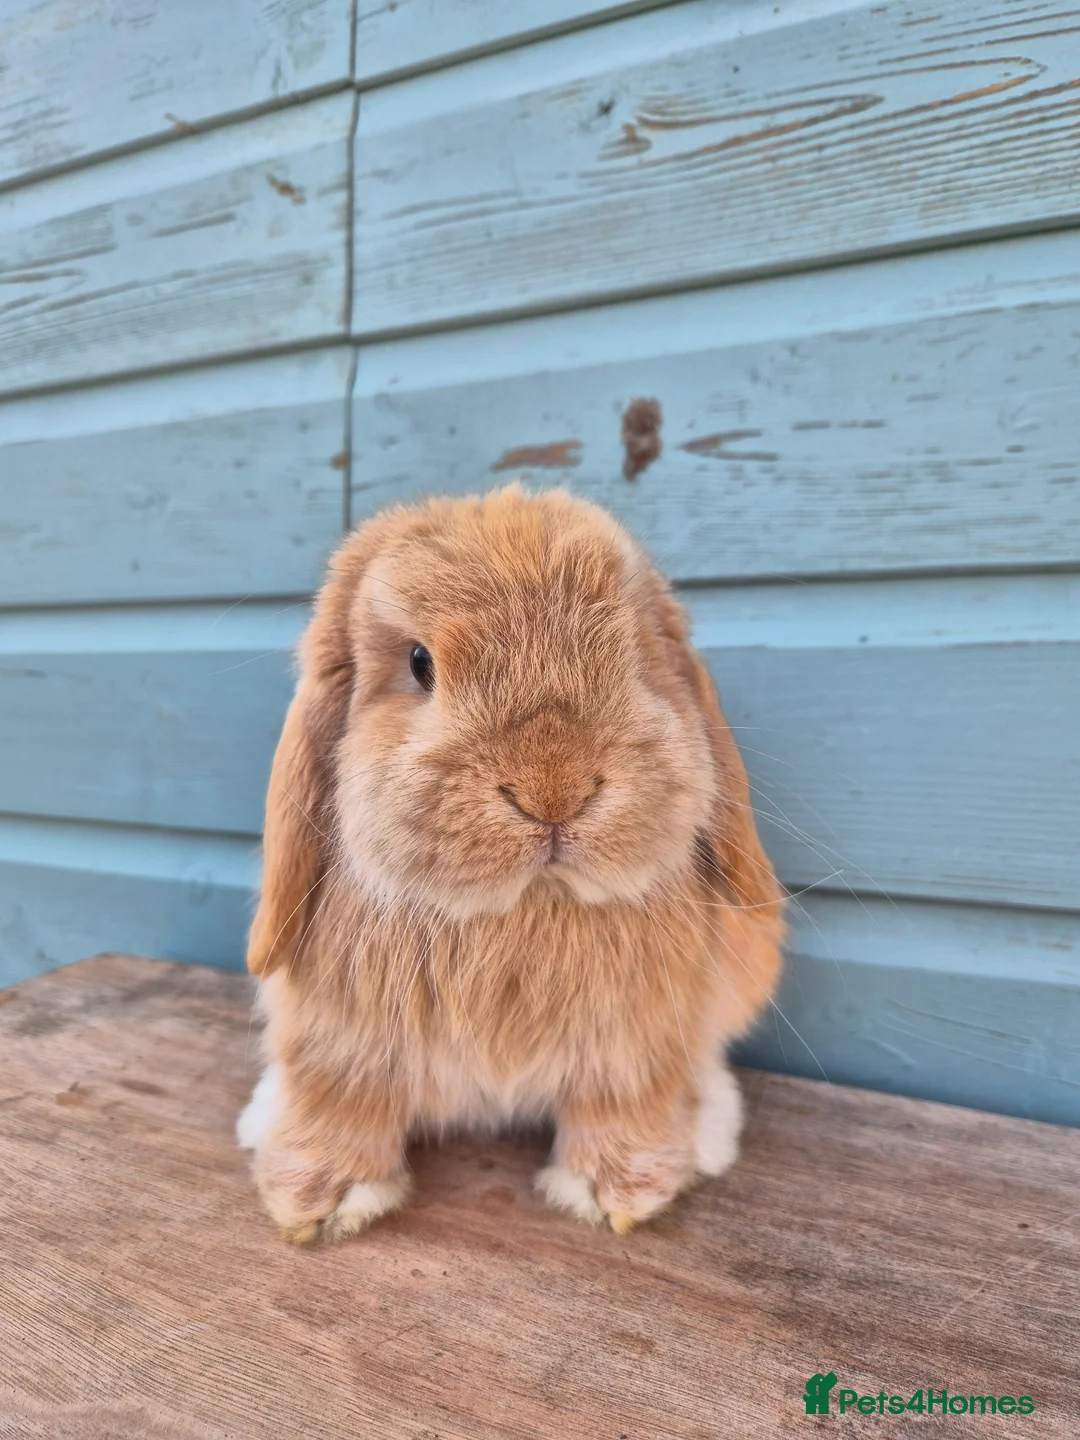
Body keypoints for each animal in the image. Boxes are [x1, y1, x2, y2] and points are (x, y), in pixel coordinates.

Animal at [237, 484, 784, 1242]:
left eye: (635, 654)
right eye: (420, 663)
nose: (554, 790)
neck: (524, 906)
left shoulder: (631, 1049)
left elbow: (626, 1104)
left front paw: (619, 1193)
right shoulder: (341, 1042)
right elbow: (340, 1100)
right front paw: (317, 1202)